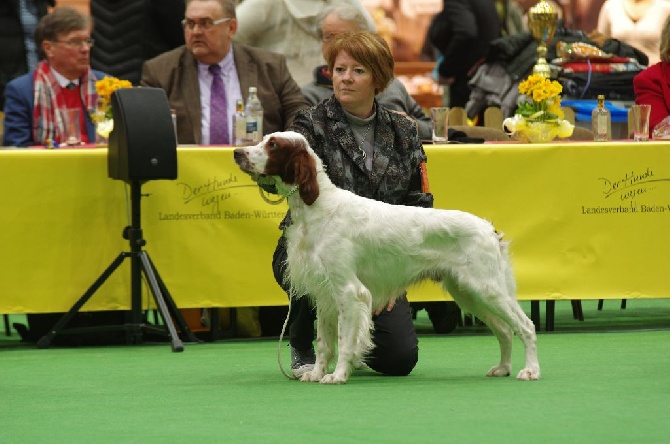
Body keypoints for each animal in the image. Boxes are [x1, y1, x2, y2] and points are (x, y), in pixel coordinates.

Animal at [234, 130, 544, 384]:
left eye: (273, 145)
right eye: (264, 140)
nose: (237, 152)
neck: (318, 206)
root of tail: (489, 228)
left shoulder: (349, 291)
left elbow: (345, 339)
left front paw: (338, 375)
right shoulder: (325, 294)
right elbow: (323, 342)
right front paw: (317, 373)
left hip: (487, 289)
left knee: (525, 326)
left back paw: (530, 370)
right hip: (469, 292)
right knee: (504, 330)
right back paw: (502, 368)